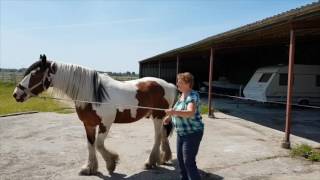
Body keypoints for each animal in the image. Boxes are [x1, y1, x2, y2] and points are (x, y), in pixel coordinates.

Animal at [12, 54, 176, 175]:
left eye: (34, 74)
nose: (16, 94)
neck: (93, 95)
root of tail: (169, 84)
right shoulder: (88, 124)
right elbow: (90, 144)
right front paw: (90, 168)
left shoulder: (106, 124)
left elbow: (98, 144)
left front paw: (111, 163)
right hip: (159, 116)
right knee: (163, 134)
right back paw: (163, 158)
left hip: (157, 116)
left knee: (157, 136)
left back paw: (151, 162)